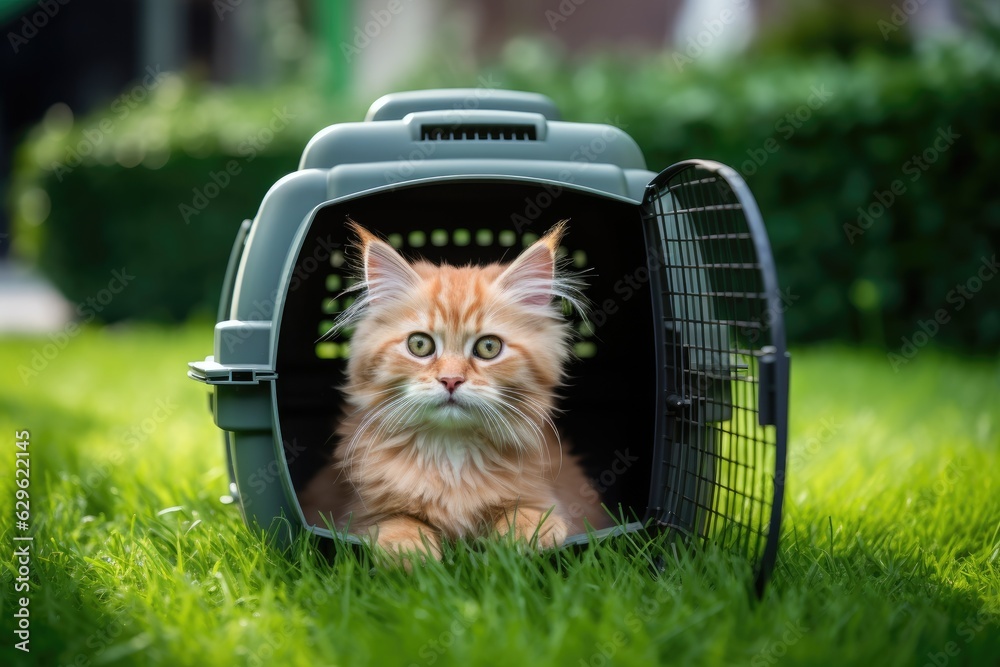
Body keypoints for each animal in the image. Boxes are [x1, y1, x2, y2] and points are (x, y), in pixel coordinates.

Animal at [296, 219, 608, 560]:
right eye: (419, 345)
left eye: (488, 347)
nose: (451, 380)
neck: (450, 454)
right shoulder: (355, 511)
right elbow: (395, 521)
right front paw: (413, 552)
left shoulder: (550, 495)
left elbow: (525, 511)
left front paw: (523, 538)